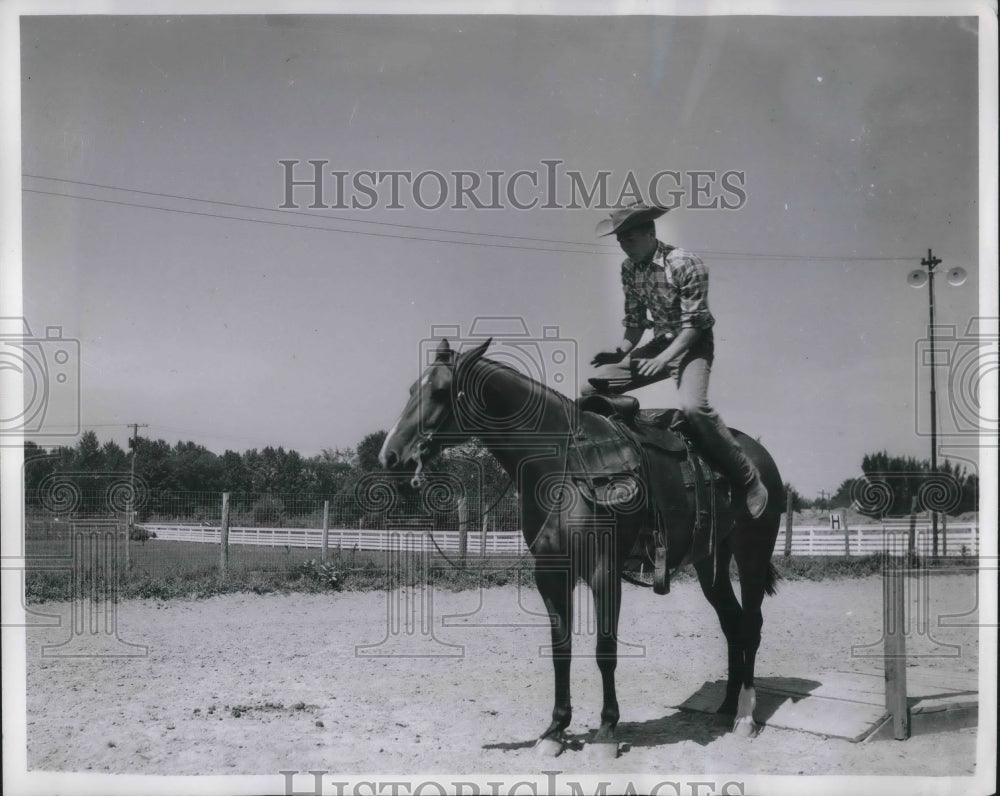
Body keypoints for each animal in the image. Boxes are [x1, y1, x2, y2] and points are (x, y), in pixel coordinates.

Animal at [379, 337, 783, 756]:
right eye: (412, 389)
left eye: (440, 391)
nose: (390, 455)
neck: (563, 467)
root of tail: (759, 460)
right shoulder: (552, 574)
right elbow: (562, 650)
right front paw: (555, 730)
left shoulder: (604, 571)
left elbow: (605, 650)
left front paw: (607, 731)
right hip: (710, 564)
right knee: (731, 623)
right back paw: (726, 707)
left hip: (752, 556)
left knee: (751, 624)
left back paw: (745, 716)